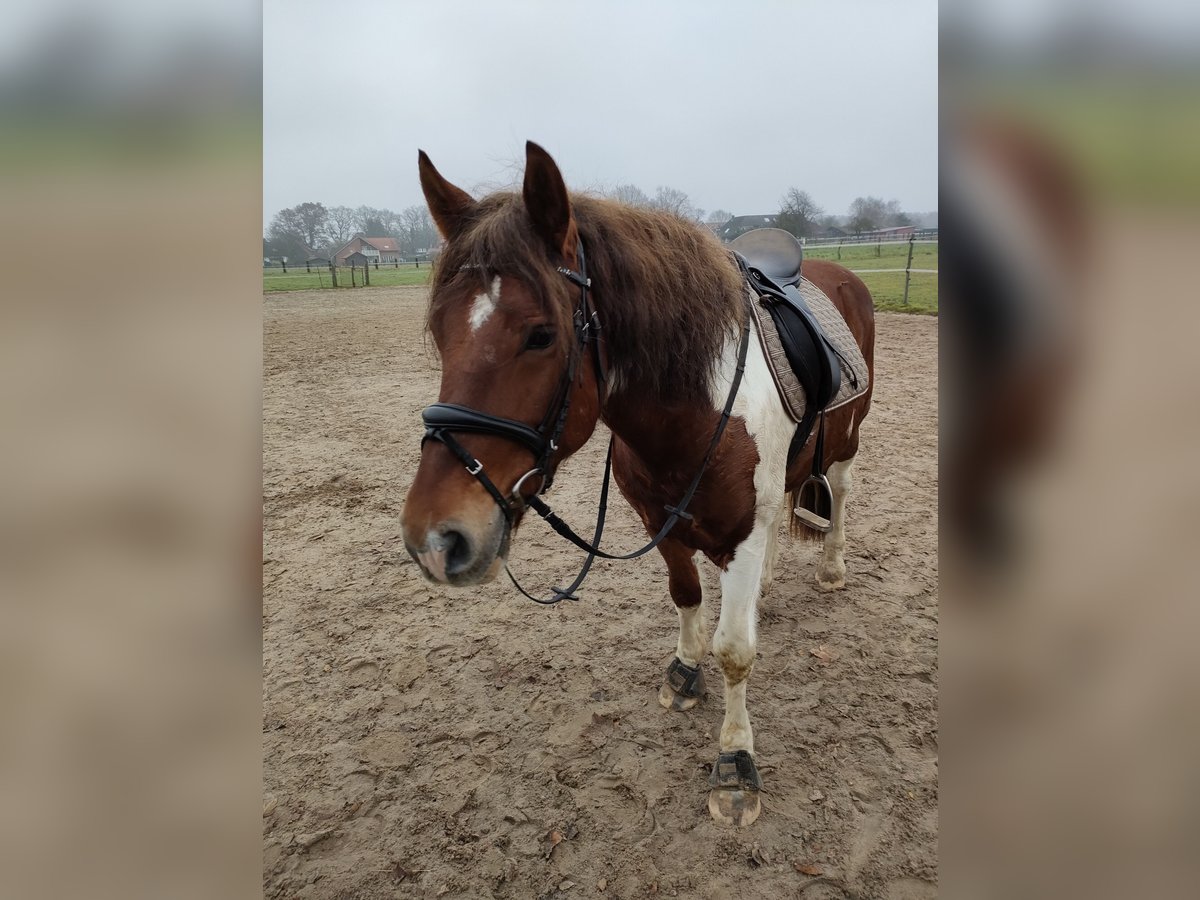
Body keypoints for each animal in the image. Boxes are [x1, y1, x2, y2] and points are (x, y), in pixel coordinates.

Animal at [398, 139, 878, 825]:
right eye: (440, 332)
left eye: (541, 334)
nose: (435, 539)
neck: (696, 408)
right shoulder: (663, 523)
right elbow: (686, 597)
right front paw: (685, 672)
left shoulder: (740, 534)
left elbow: (736, 650)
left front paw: (735, 761)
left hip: (846, 444)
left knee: (839, 495)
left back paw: (833, 566)